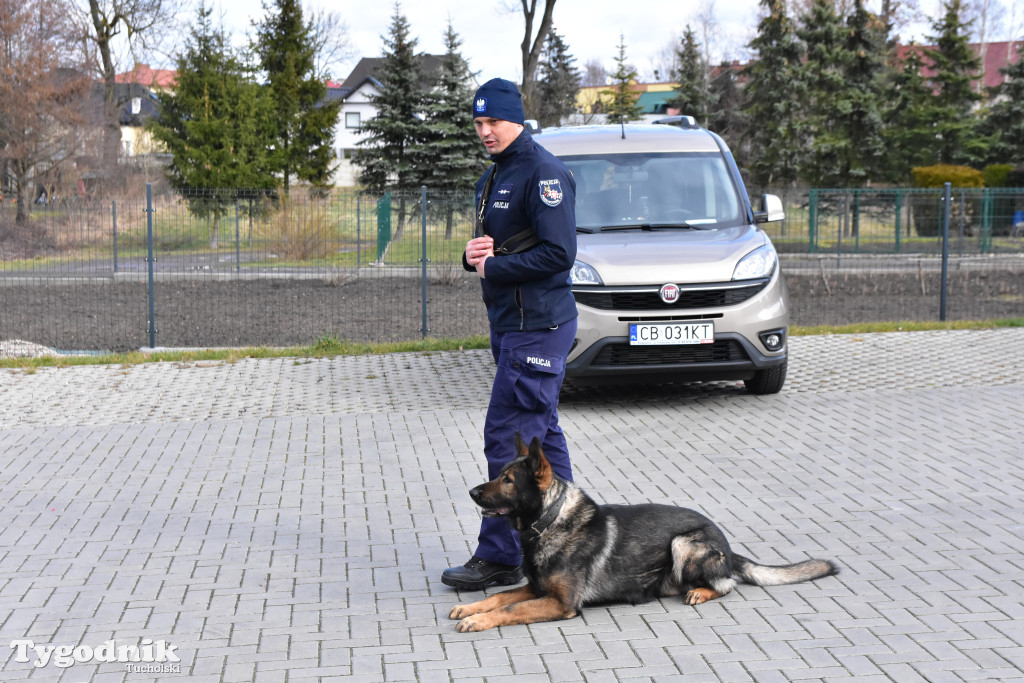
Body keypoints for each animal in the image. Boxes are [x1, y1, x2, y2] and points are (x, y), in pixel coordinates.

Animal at [450, 436, 839, 634]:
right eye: (499, 474)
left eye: (508, 481)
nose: (471, 492)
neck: (550, 520)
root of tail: (727, 546)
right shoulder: (537, 588)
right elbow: (502, 596)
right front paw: (471, 607)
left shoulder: (560, 603)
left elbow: (511, 608)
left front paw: (478, 620)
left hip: (684, 544)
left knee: (726, 583)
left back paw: (701, 592)